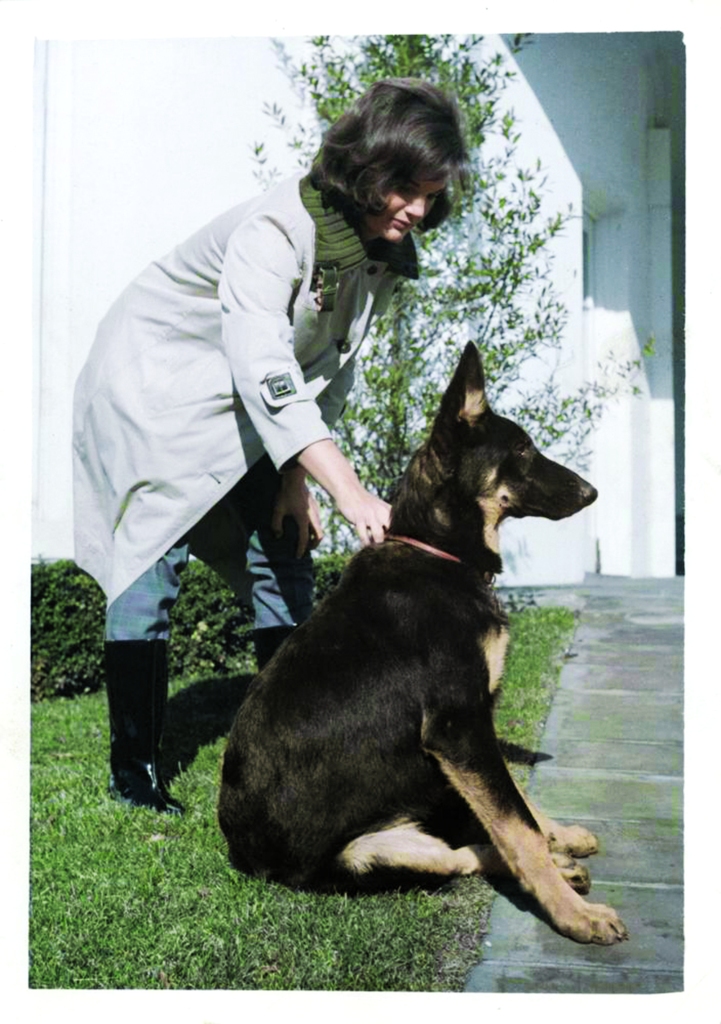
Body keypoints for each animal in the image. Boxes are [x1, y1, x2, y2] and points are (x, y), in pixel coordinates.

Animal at [217, 342, 626, 942]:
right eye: (522, 449)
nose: (592, 492)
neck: (439, 553)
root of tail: (249, 860)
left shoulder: (474, 728)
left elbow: (518, 800)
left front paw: (558, 840)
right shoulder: (459, 727)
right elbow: (516, 825)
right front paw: (573, 915)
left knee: (463, 849)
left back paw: (563, 860)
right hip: (365, 854)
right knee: (467, 856)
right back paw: (560, 877)